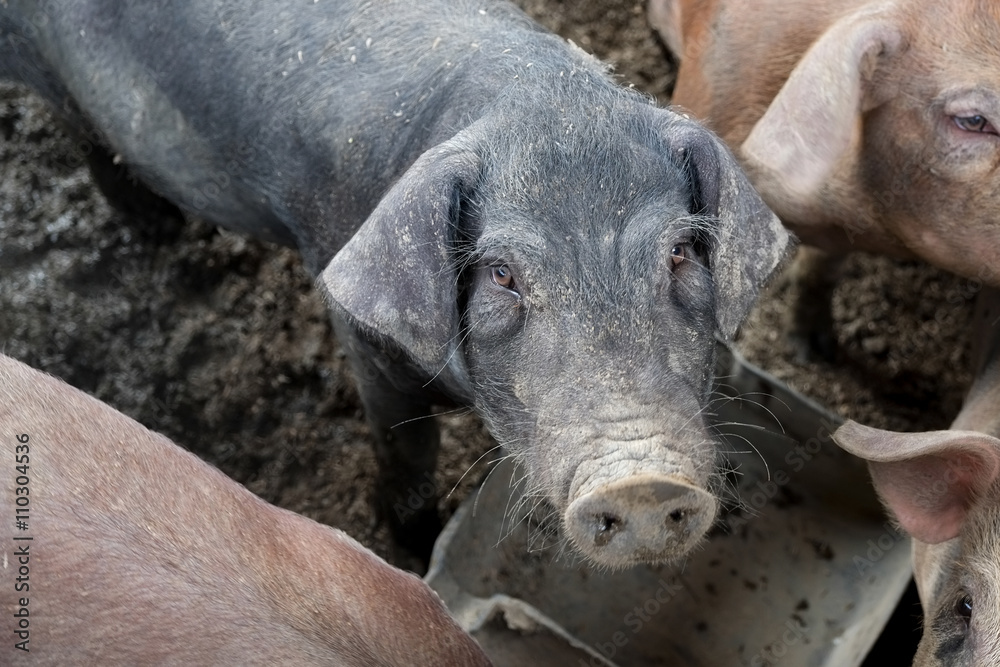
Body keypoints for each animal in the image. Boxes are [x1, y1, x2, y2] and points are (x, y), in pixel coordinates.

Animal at [1, 1, 788, 568]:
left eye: (681, 252)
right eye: (502, 273)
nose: (643, 480)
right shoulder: (364, 338)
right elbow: (407, 450)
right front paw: (415, 550)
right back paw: (157, 229)